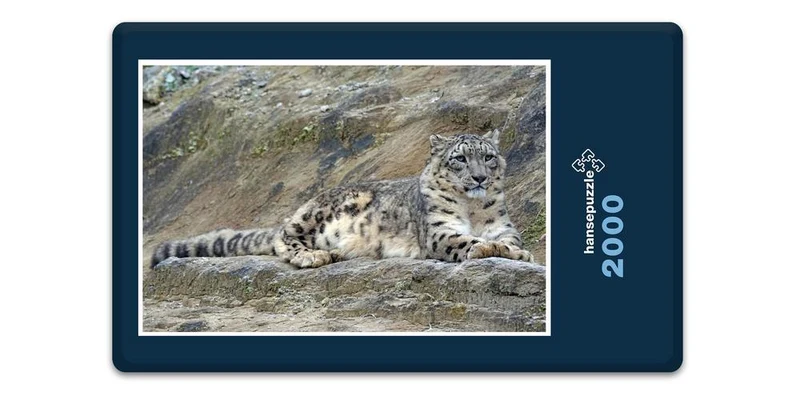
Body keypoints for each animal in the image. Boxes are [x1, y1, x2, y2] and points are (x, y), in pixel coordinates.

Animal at [151, 129, 534, 268]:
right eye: (460, 158)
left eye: (488, 157)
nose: (479, 177)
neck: (473, 209)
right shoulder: (439, 231)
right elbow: (467, 241)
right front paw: (489, 249)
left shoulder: (503, 226)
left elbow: (508, 240)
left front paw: (516, 252)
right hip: (315, 214)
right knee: (282, 236)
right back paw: (313, 256)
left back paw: (337, 253)